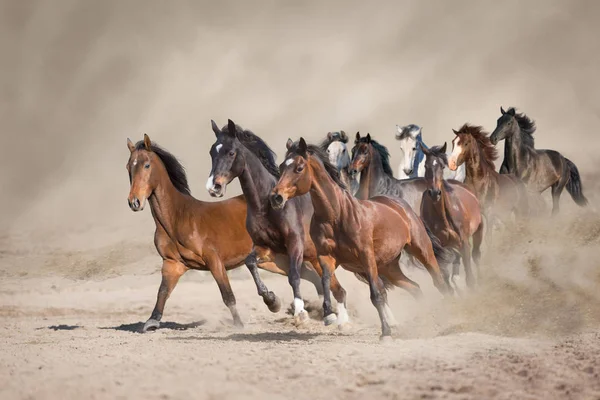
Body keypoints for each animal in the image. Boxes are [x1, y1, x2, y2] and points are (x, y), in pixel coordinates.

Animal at [125, 134, 288, 332]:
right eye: (128, 166)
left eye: (147, 165)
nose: (134, 202)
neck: (178, 219)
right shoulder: (172, 264)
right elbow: (162, 292)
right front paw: (152, 321)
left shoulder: (214, 260)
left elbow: (227, 295)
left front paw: (239, 325)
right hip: (270, 260)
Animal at [206, 119, 350, 324]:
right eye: (212, 152)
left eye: (231, 152)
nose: (214, 187)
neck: (265, 205)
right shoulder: (265, 247)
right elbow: (250, 263)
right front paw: (272, 301)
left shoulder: (295, 244)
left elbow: (294, 277)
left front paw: (300, 313)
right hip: (314, 259)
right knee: (333, 287)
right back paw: (333, 316)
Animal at [270, 138, 452, 340]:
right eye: (281, 166)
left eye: (299, 168)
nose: (276, 197)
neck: (337, 216)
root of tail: (402, 205)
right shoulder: (326, 257)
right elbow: (326, 280)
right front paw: (329, 315)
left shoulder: (366, 257)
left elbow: (376, 295)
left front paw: (385, 333)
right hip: (389, 267)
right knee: (414, 287)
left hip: (422, 250)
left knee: (439, 281)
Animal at [420, 142, 486, 290]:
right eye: (426, 166)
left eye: (442, 166)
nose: (434, 193)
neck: (443, 218)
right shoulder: (441, 248)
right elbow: (445, 277)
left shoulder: (464, 243)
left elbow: (469, 277)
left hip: (478, 230)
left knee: (476, 255)